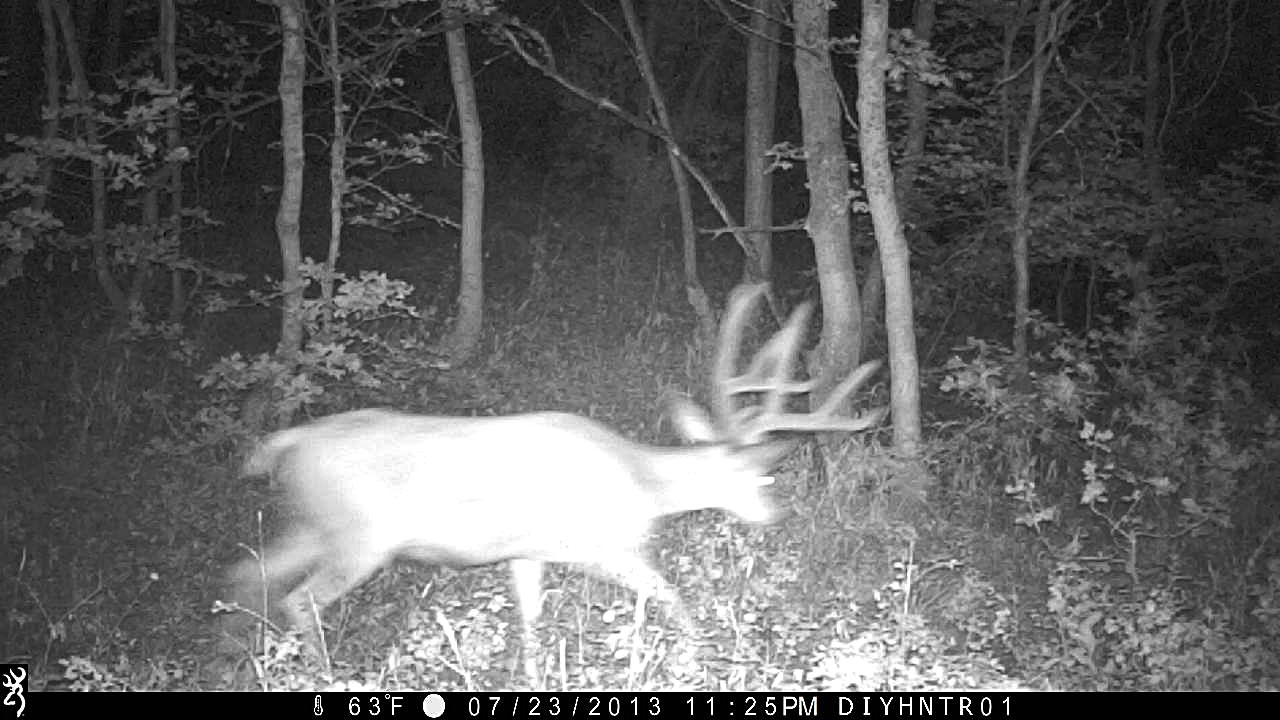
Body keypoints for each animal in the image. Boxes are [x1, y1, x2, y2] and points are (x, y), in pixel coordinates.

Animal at [221, 283, 886, 682]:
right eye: (755, 474)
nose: (778, 517)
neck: (642, 478)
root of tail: (287, 441)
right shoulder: (594, 544)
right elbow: (669, 595)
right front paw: (700, 655)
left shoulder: (528, 551)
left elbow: (531, 622)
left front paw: (536, 675)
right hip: (360, 538)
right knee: (299, 597)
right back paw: (321, 672)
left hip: (314, 525)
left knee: (247, 575)